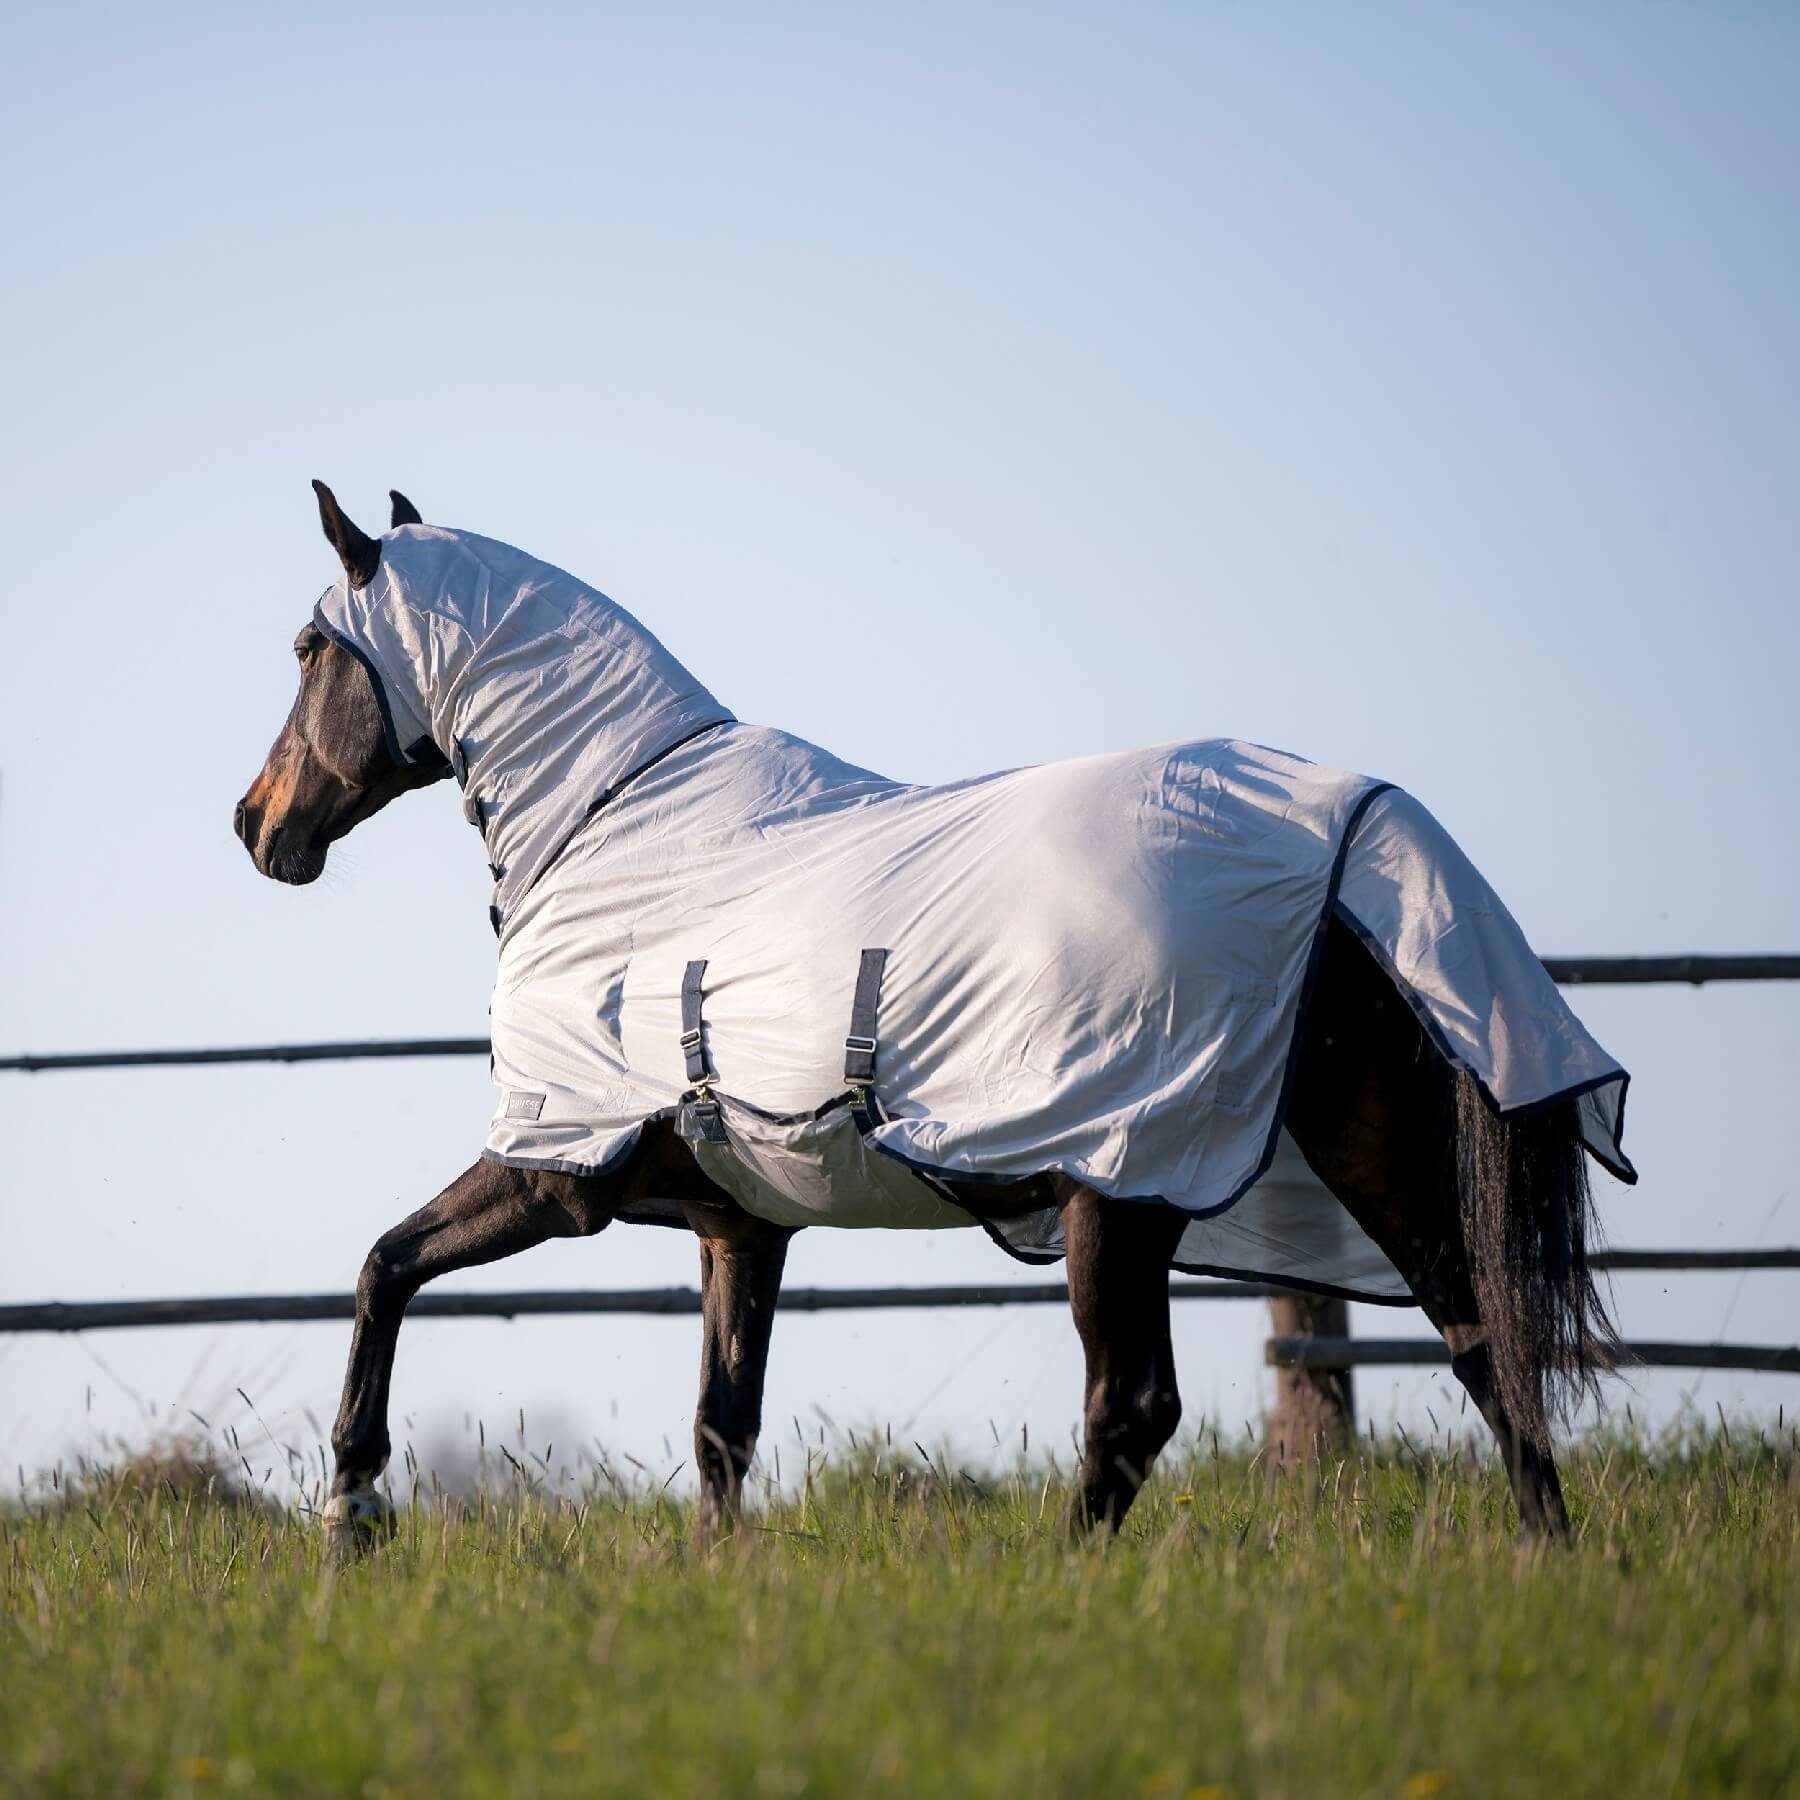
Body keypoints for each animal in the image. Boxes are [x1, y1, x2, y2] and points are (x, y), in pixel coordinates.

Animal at [235, 481, 1630, 1549]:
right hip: (1365, 1160)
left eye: (308, 649)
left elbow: (384, 1267)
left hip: (1118, 1193)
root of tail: (1343, 830)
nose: (258, 825)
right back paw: (1546, 1559)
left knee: (1132, 1410)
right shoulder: (741, 1227)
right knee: (1483, 1341)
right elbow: (722, 1429)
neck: (614, 825)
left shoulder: (552, 1168)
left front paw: (353, 1511)